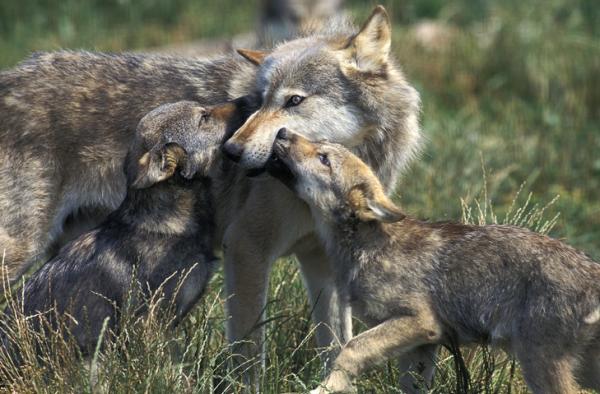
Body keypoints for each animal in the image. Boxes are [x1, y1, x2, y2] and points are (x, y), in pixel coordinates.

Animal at [268, 129, 600, 394]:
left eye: (323, 159)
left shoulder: (419, 322)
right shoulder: (422, 346)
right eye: (320, 145)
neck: (365, 247)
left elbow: (350, 349)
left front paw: (324, 388)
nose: (282, 131)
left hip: (538, 365)